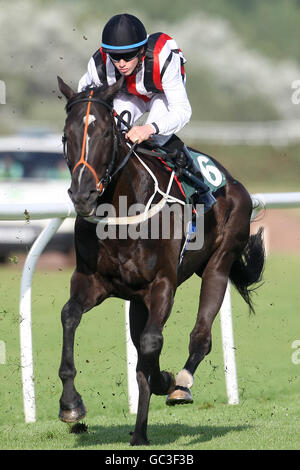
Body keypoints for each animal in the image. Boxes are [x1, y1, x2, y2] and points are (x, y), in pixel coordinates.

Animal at [57, 76, 264, 444]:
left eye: (106, 134)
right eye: (68, 135)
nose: (83, 195)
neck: (122, 211)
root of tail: (233, 182)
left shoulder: (163, 285)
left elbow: (151, 345)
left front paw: (166, 380)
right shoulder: (91, 282)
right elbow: (70, 316)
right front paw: (70, 404)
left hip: (219, 264)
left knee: (201, 335)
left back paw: (180, 383)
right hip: (138, 302)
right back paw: (139, 433)